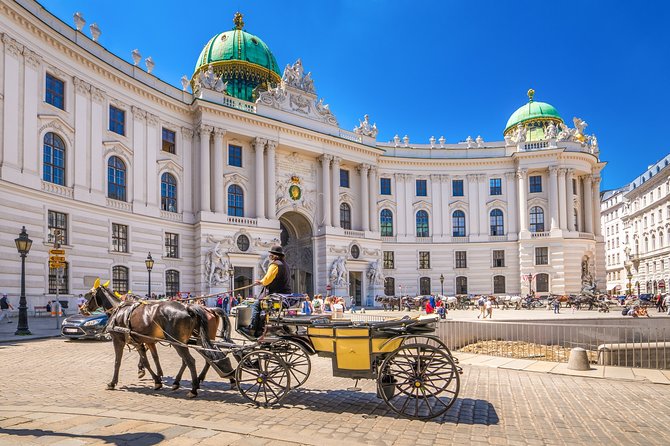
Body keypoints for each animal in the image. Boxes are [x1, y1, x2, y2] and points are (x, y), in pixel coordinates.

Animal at [81, 278, 218, 398]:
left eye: (89, 294)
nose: (82, 308)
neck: (119, 311)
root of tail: (188, 307)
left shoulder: (118, 340)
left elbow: (117, 362)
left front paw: (112, 383)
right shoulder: (141, 342)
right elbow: (149, 360)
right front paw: (157, 380)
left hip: (177, 342)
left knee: (191, 361)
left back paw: (193, 389)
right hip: (185, 342)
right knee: (194, 359)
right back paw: (183, 383)